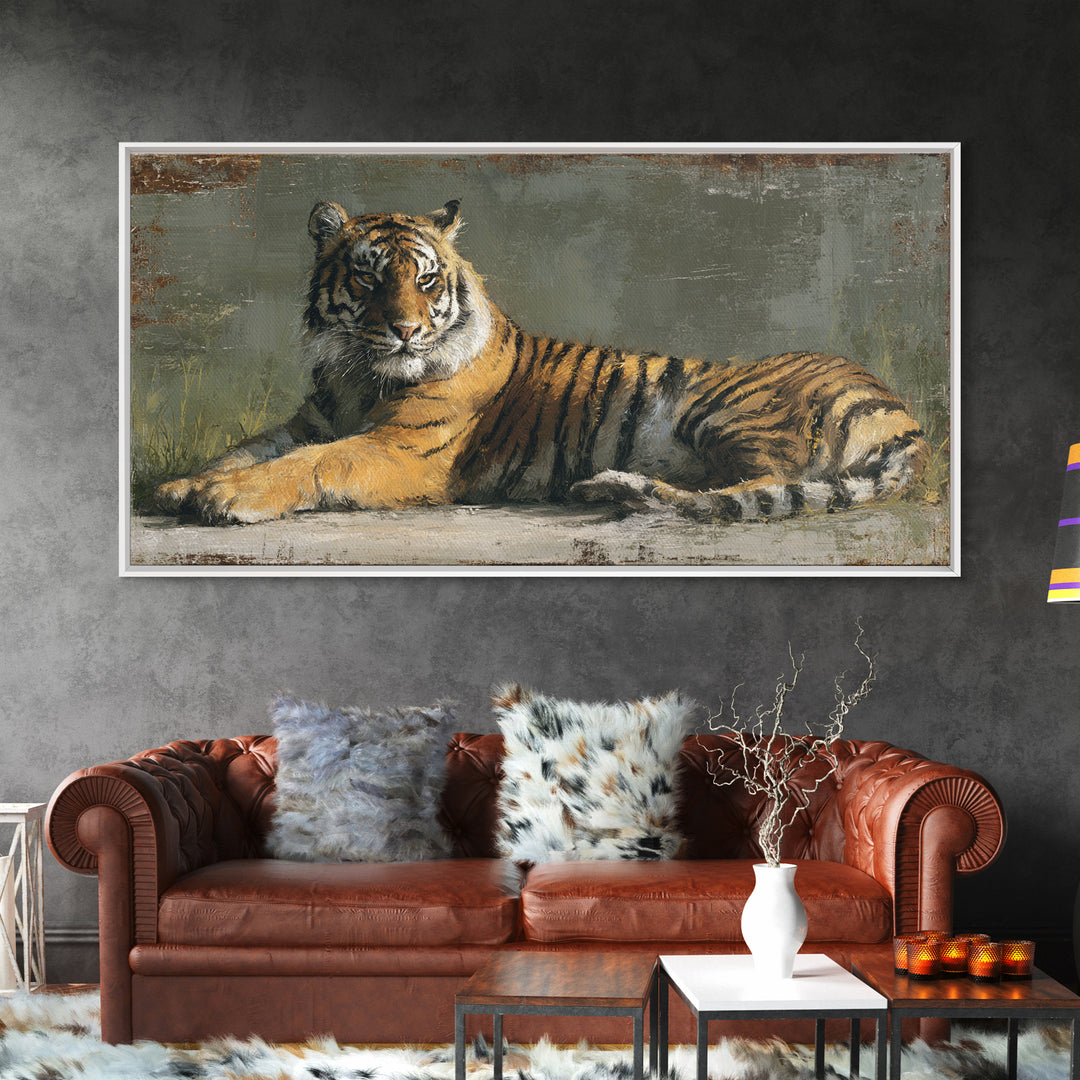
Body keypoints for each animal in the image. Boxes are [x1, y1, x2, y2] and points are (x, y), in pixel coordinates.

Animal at [154, 198, 930, 525]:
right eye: (369, 278)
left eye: (425, 280)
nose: (405, 331)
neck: (355, 373)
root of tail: (905, 414)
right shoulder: (308, 420)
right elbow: (250, 448)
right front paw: (182, 485)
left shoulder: (402, 449)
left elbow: (310, 464)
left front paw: (222, 499)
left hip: (723, 407)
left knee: (753, 487)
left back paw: (619, 490)